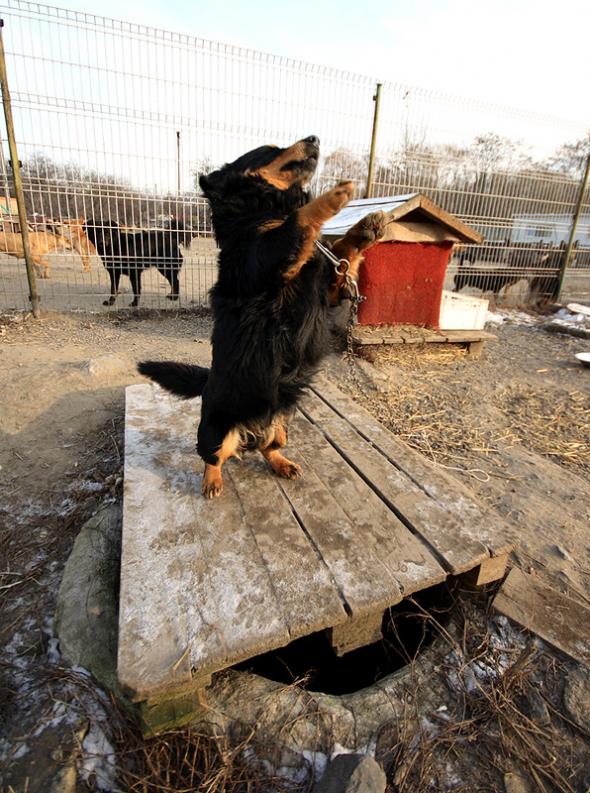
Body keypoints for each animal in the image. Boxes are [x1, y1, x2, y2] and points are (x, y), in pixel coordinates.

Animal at [139, 135, 388, 496]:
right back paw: (212, 481)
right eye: (269, 150)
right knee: (212, 457)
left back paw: (283, 463)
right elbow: (298, 220)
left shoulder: (328, 290)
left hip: (282, 420)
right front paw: (335, 195)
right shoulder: (268, 259)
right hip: (214, 431)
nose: (314, 138)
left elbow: (341, 251)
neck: (261, 213)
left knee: (268, 446)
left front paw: (367, 227)